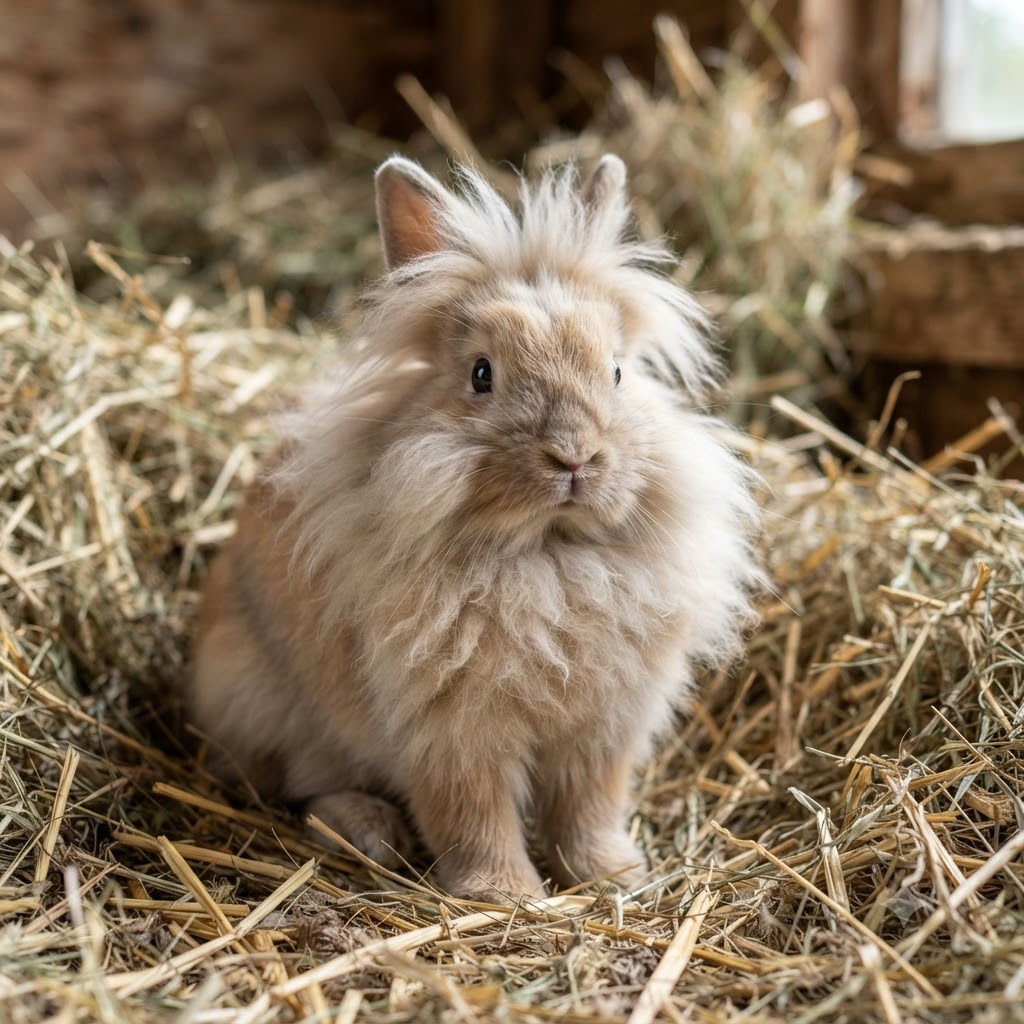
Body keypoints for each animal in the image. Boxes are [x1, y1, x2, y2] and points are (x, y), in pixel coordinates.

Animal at [188, 153, 759, 903]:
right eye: (482, 374)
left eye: (616, 371)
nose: (574, 455)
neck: (547, 554)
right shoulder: (451, 729)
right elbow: (472, 815)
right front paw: (506, 895)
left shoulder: (604, 729)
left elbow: (590, 807)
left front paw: (612, 877)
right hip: (263, 705)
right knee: (296, 787)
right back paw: (370, 831)